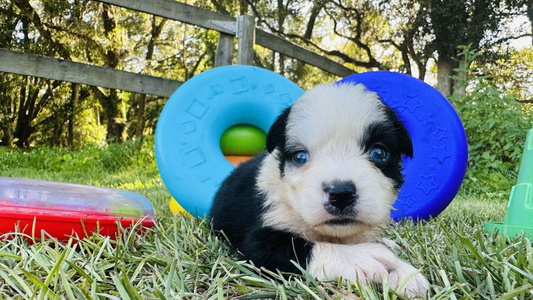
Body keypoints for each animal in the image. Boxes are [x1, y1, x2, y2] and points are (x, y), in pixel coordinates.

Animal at [208, 82, 428, 298]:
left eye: (379, 153)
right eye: (300, 156)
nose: (341, 195)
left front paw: (405, 273)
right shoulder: (261, 237)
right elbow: (300, 249)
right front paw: (362, 257)